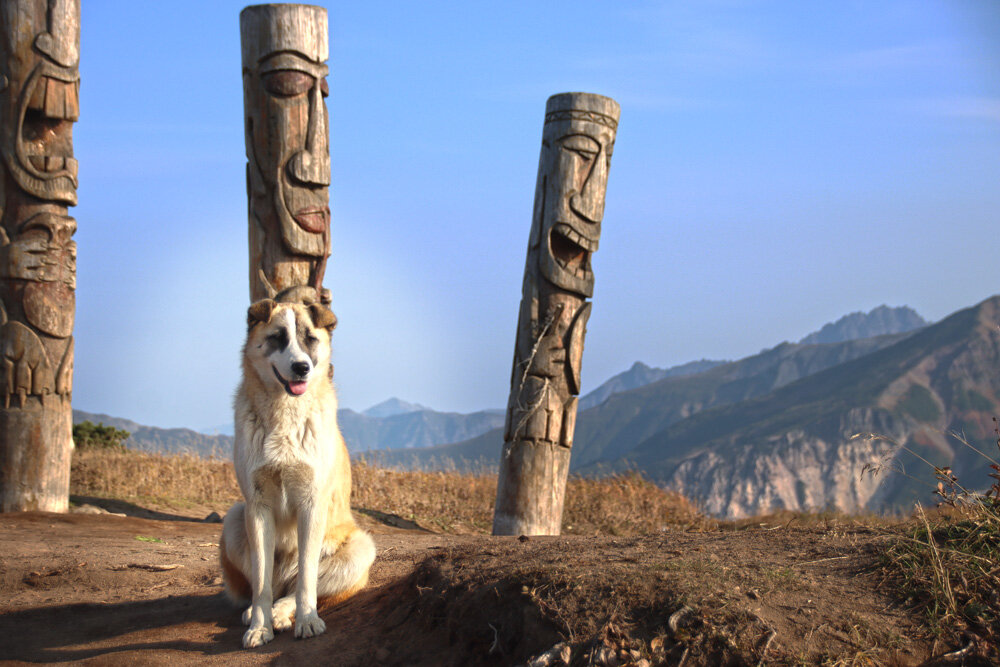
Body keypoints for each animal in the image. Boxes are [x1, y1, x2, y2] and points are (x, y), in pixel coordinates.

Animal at [222, 286, 376, 648]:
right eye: (278, 338)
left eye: (310, 339)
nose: (302, 367)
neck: (285, 414)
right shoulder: (258, 507)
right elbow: (261, 583)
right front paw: (259, 627)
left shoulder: (311, 504)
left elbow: (307, 579)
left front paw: (307, 621)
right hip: (234, 518)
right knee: (270, 587)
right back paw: (260, 613)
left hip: (360, 549)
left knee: (299, 587)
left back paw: (285, 613)